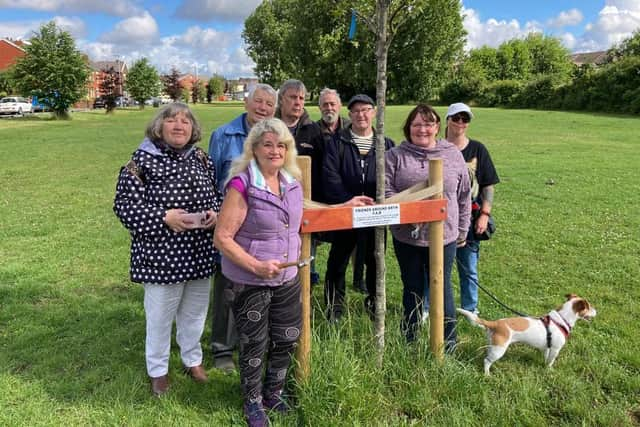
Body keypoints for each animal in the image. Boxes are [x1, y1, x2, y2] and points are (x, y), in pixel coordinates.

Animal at [456, 294, 596, 374]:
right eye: (589, 307)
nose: (597, 311)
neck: (561, 319)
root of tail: (495, 323)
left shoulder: (547, 347)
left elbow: (546, 358)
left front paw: (543, 364)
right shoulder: (555, 349)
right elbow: (550, 361)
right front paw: (549, 370)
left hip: (494, 346)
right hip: (499, 350)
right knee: (487, 361)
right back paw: (487, 375)